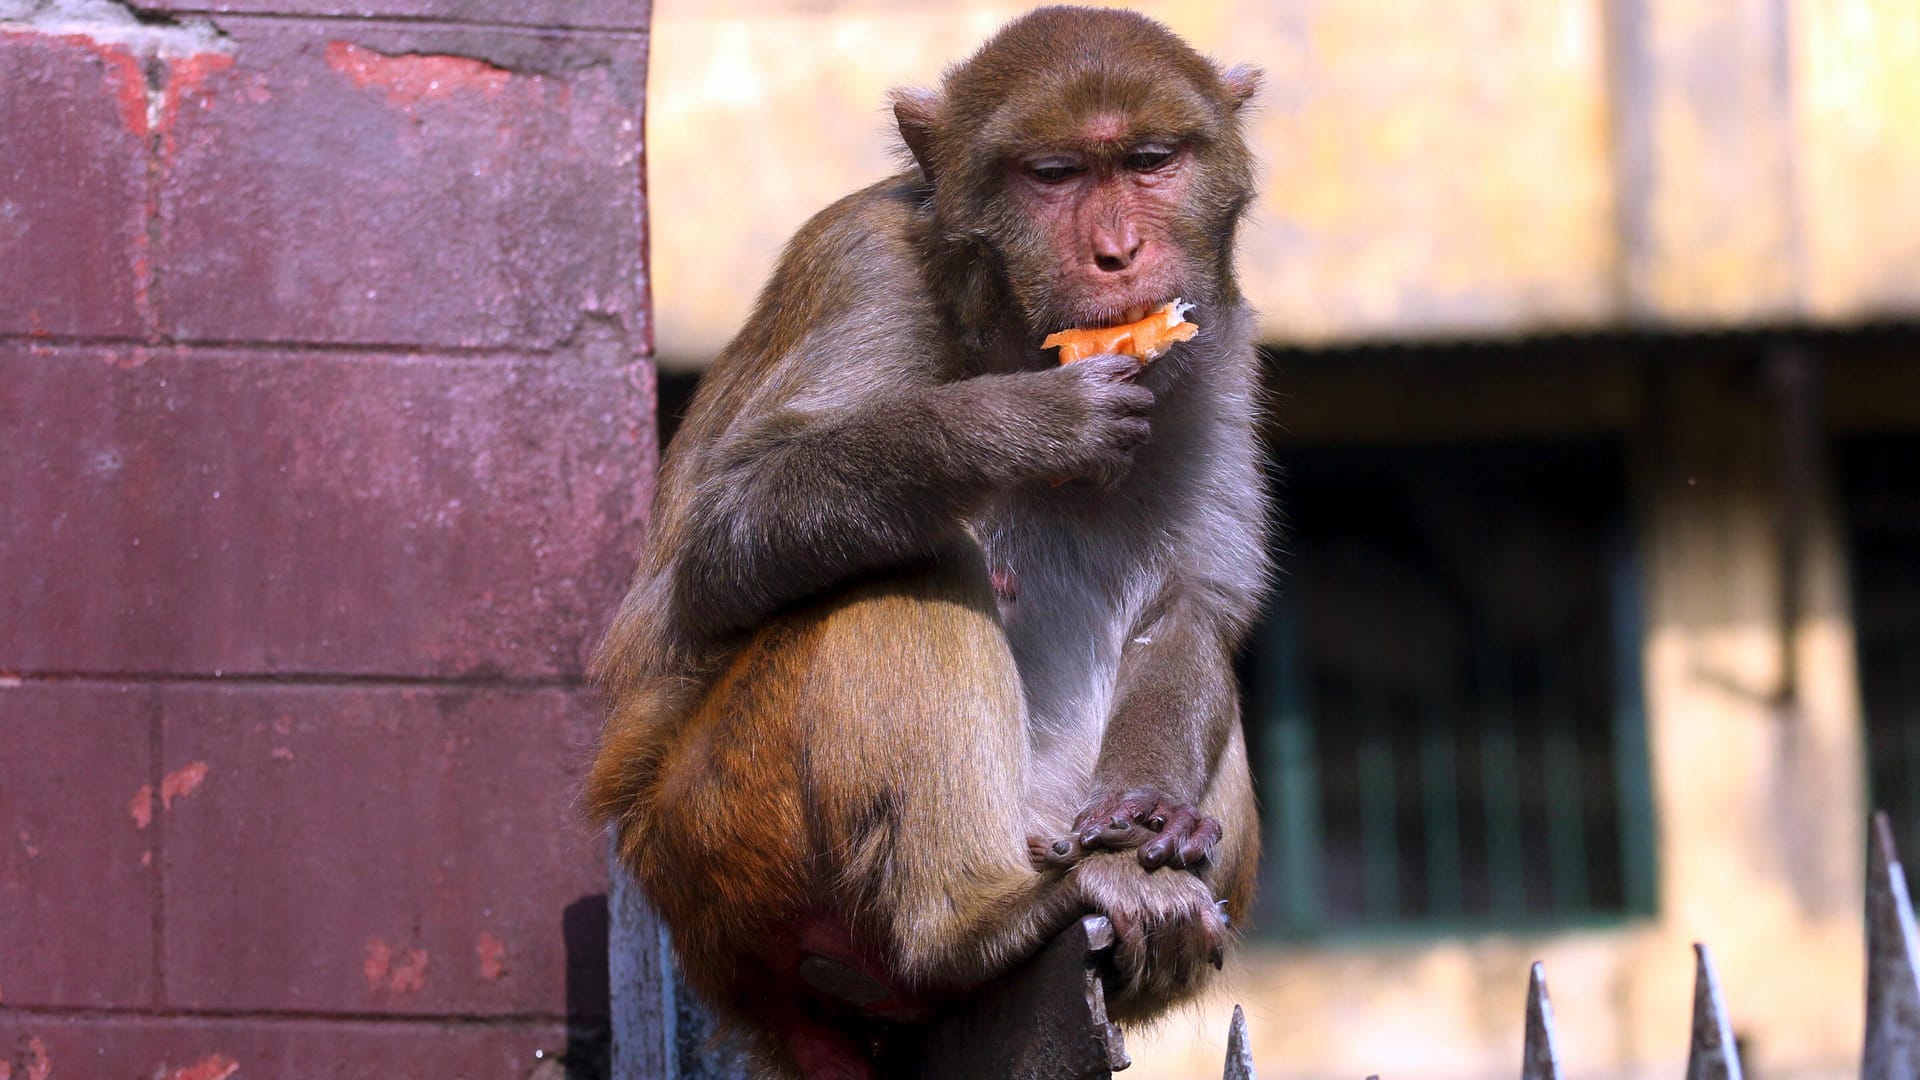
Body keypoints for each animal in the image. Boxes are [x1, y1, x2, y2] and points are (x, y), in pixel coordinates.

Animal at [583, 6, 1274, 1068]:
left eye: (1152, 160)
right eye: (1053, 175)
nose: (1119, 252)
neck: (1006, 325)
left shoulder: (1217, 340)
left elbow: (1193, 606)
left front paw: (1150, 809)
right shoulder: (860, 268)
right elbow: (722, 536)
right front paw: (1014, 425)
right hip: (725, 829)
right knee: (907, 572)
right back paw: (966, 924)